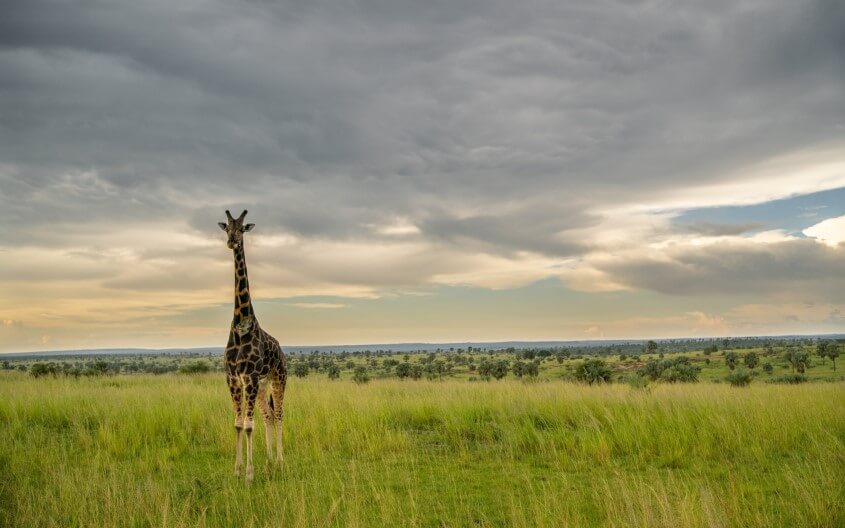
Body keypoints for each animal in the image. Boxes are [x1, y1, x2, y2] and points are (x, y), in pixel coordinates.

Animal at [218, 208, 286, 480]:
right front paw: (237, 471)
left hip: (278, 377)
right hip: (263, 383)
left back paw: (280, 461)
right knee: (268, 415)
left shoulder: (250, 377)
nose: (231, 242)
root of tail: (281, 350)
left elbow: (248, 426)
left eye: (242, 229)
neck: (241, 323)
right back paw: (269, 461)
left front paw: (249, 473)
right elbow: (238, 424)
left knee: (279, 414)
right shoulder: (234, 378)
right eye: (227, 228)